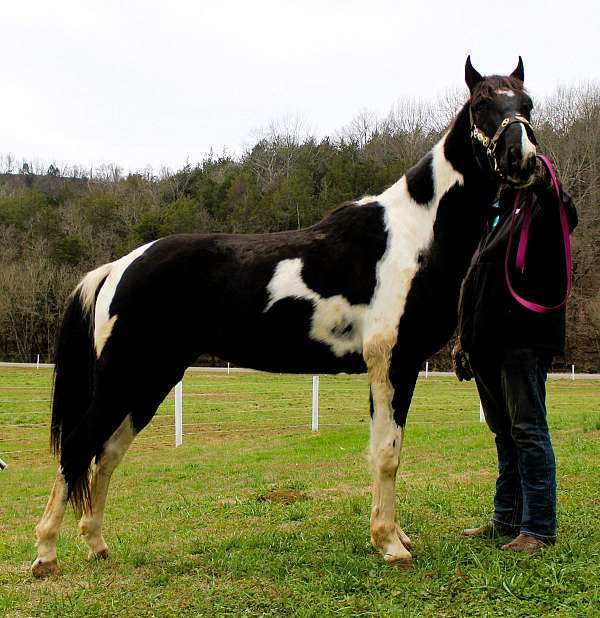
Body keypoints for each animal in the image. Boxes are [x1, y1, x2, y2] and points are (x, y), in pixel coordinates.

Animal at [31, 57, 540, 572]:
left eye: (527, 103)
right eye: (481, 106)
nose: (522, 158)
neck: (413, 233)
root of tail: (120, 266)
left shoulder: (404, 365)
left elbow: (388, 448)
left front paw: (395, 535)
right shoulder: (390, 362)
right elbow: (386, 454)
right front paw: (390, 545)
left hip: (151, 379)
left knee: (107, 453)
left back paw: (97, 544)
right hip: (124, 377)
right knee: (78, 446)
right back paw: (46, 554)